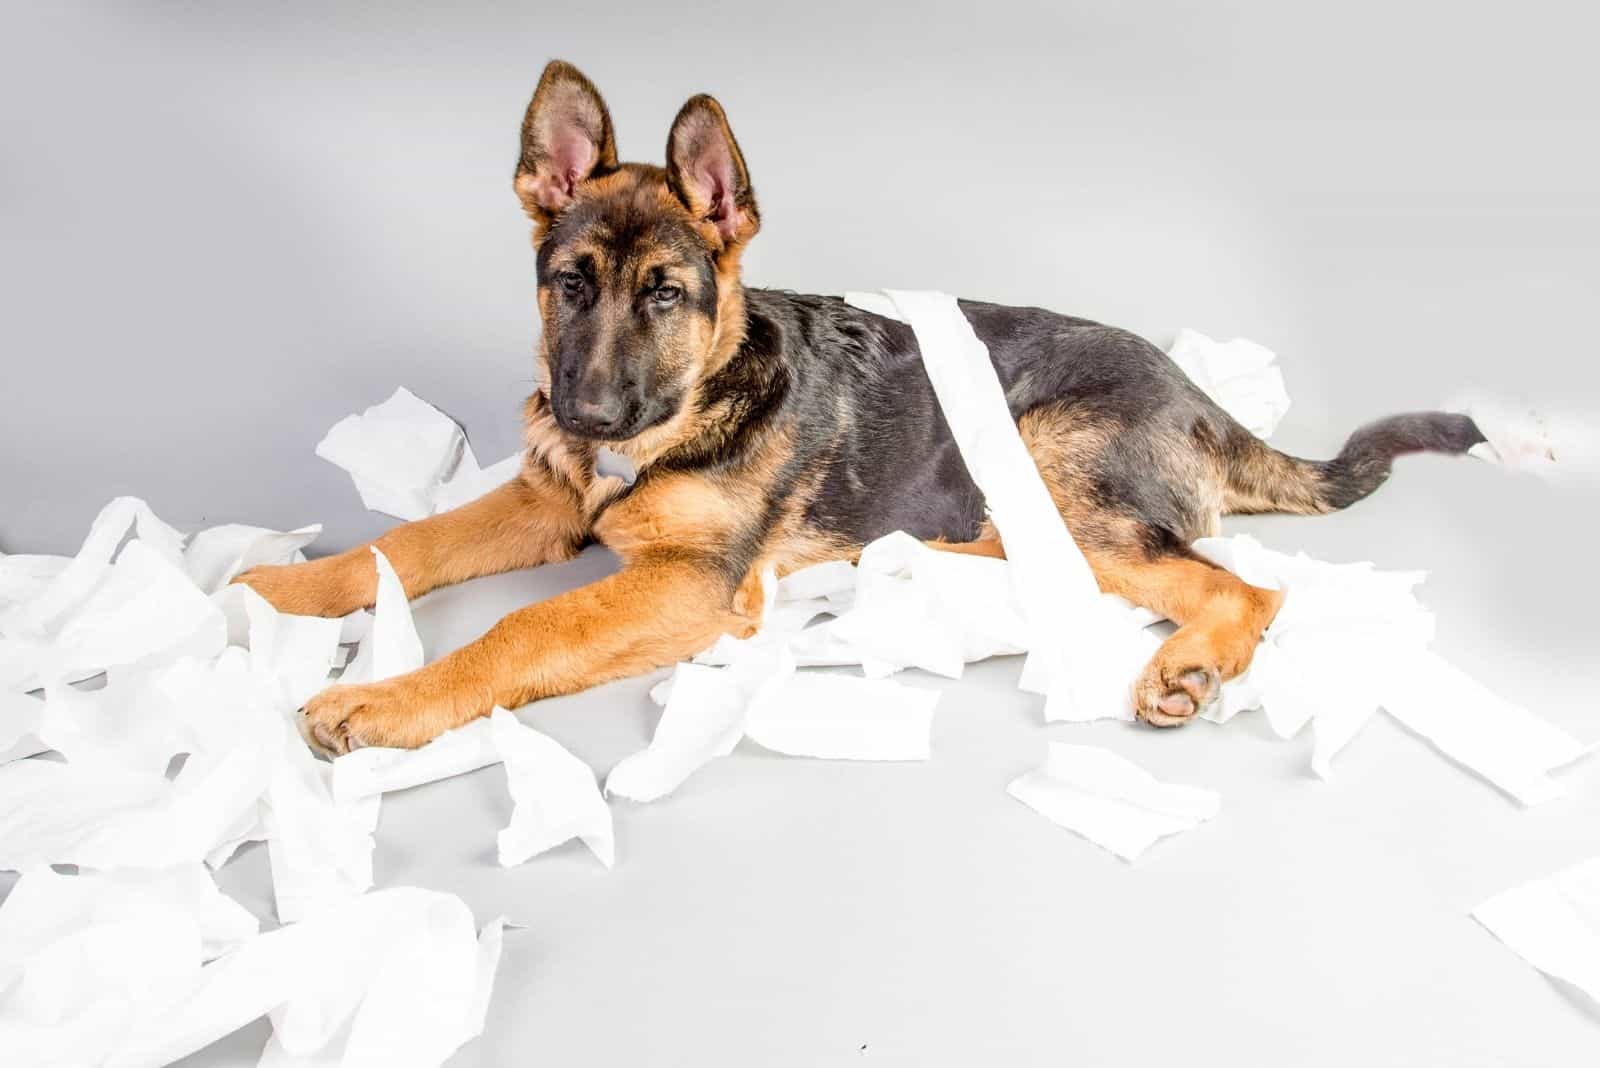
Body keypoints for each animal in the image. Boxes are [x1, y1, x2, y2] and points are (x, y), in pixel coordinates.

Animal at [236, 62, 1484, 754]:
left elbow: (519, 630)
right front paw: (281, 589)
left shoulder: (691, 587)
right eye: (569, 284)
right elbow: (407, 543)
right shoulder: (547, 509)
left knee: (1243, 590)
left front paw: (383, 701)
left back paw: (1185, 667)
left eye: (666, 294)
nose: (581, 416)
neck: (690, 404)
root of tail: (1202, 398)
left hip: (1049, 466)